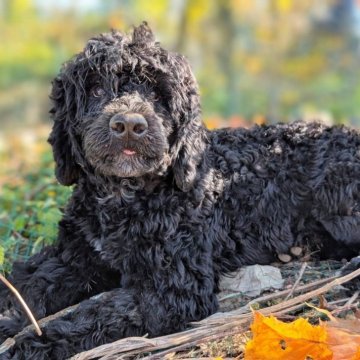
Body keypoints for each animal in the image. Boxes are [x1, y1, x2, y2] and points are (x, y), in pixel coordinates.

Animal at [0, 23, 360, 358]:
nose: (129, 125)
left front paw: (34, 344)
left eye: (158, 96)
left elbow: (96, 313)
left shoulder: (172, 292)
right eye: (97, 89)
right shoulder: (76, 254)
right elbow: (33, 281)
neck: (124, 197)